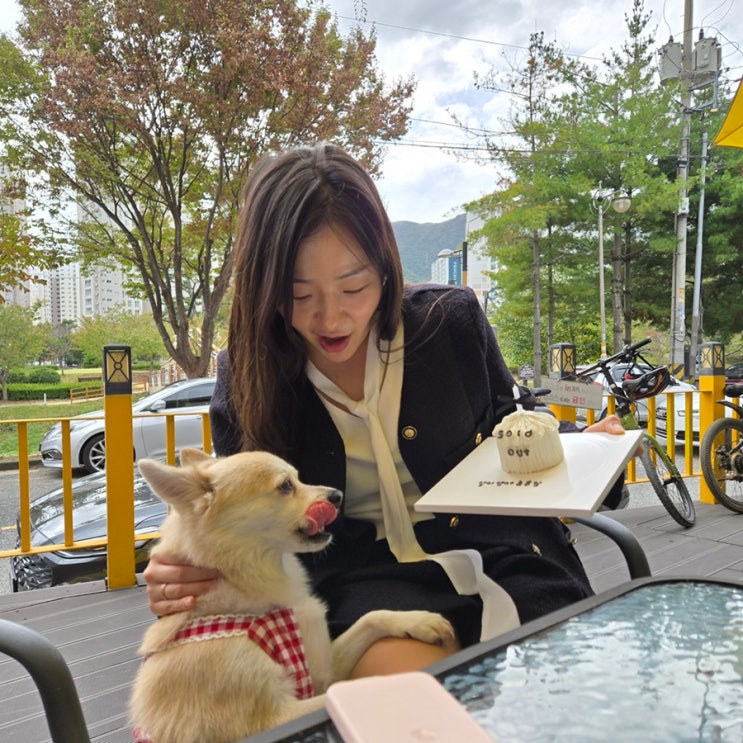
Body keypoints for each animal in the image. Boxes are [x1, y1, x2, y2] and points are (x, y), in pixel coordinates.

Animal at [129, 448, 454, 743]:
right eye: (286, 485)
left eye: (299, 477)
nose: (337, 495)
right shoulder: (271, 720)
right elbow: (340, 696)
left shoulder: (322, 671)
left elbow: (372, 617)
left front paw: (418, 621)